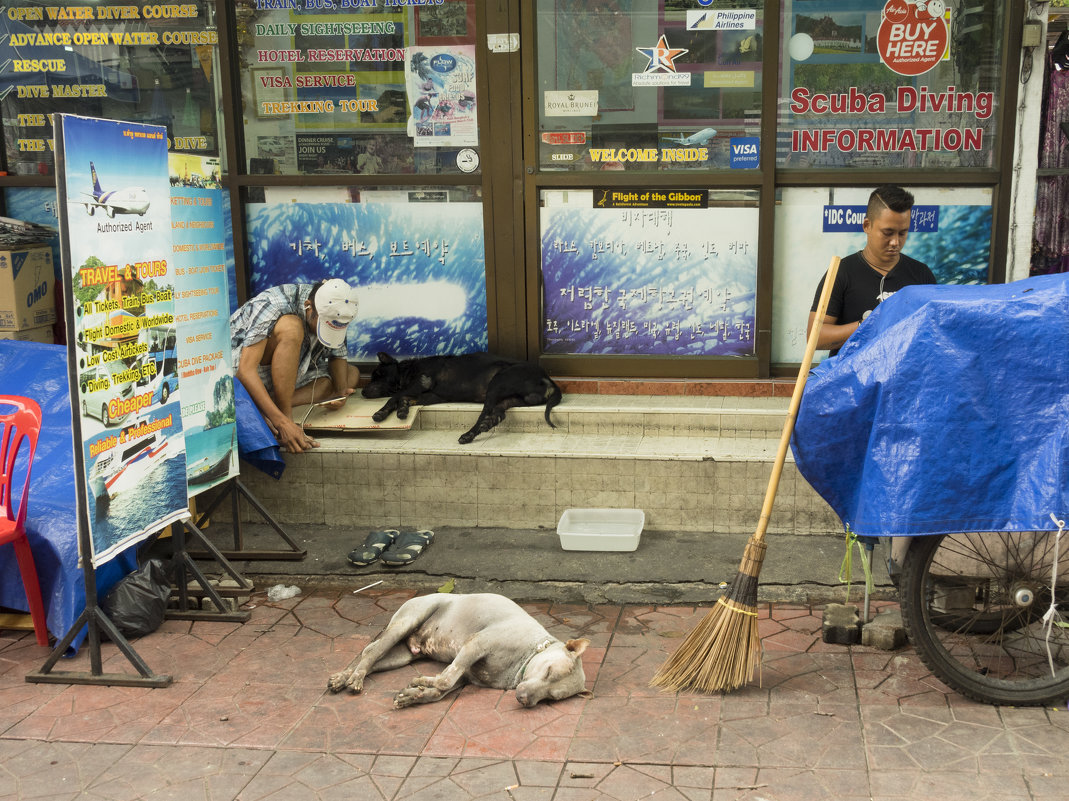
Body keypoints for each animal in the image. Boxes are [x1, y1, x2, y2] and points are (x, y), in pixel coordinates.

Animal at [361, 352, 564, 447]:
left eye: (378, 375)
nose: (362, 391)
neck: (408, 371)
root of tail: (547, 379)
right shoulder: (431, 396)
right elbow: (404, 398)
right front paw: (402, 410)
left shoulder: (420, 384)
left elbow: (395, 396)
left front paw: (380, 413)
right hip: (511, 399)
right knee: (499, 413)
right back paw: (488, 424)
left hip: (496, 383)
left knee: (483, 414)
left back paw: (469, 435)